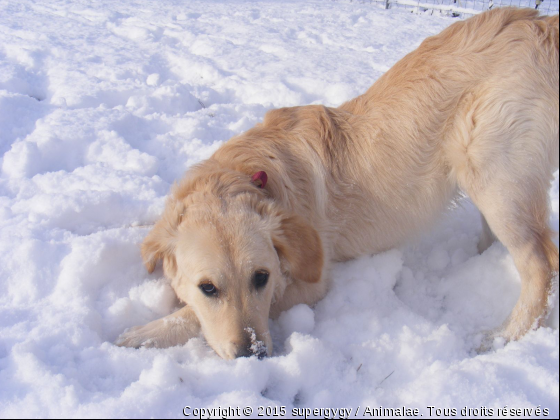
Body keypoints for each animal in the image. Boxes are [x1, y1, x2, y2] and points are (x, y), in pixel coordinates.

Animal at [116, 8, 556, 360]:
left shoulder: (312, 282)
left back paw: (505, 335)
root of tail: (538, 22)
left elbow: (193, 315)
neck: (244, 175)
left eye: (261, 277)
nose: (253, 354)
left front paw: (144, 333)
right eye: (208, 287)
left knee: (540, 263)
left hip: (495, 172)